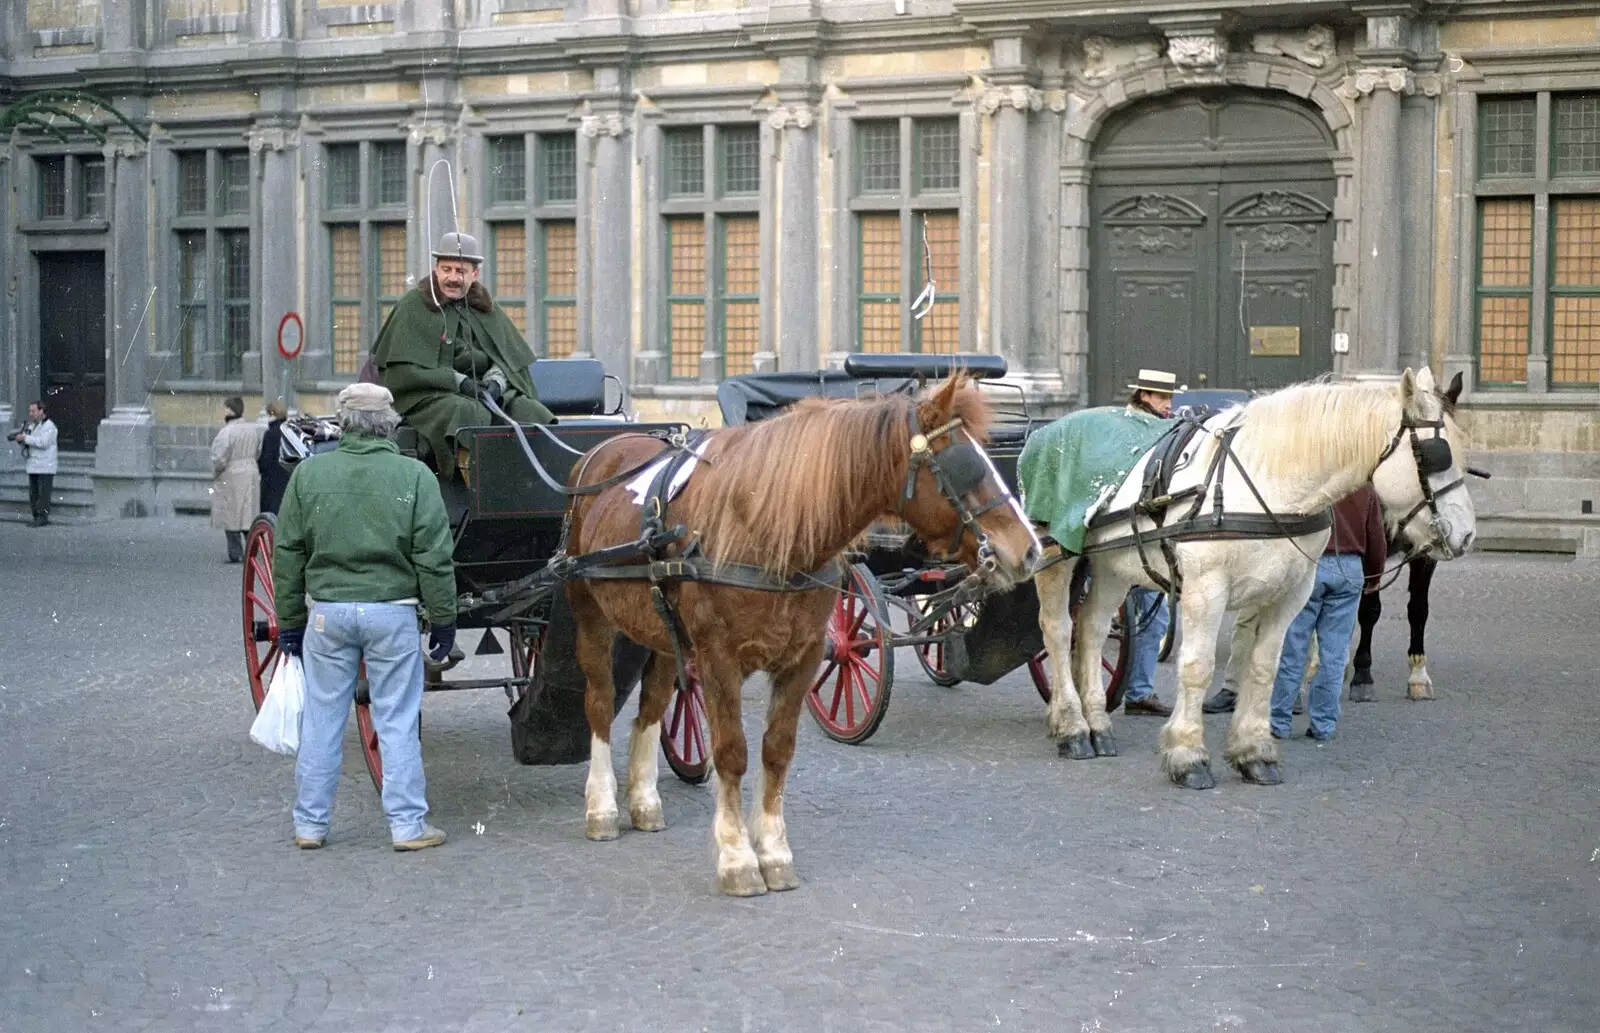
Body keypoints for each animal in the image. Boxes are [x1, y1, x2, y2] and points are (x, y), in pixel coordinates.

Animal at [560, 380, 1036, 895]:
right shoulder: (718, 659)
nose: (1029, 548)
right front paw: (737, 858)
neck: (760, 528)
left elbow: (777, 750)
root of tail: (604, 450)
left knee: (652, 704)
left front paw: (773, 852)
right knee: (600, 703)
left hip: (662, 630)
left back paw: (644, 800)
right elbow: (731, 753)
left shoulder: (803, 658)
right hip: (589, 615)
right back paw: (602, 807)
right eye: (963, 464)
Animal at [1036, 367, 1472, 789]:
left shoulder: (1290, 594)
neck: (1269, 482)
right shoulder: (1205, 590)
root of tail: (1050, 429)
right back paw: (1072, 726)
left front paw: (1254, 752)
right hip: (1055, 555)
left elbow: (1264, 668)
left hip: (1111, 567)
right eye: (1432, 455)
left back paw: (1097, 724)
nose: (1466, 534)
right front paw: (1188, 756)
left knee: (1091, 629)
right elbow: (1197, 667)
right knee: (1058, 630)